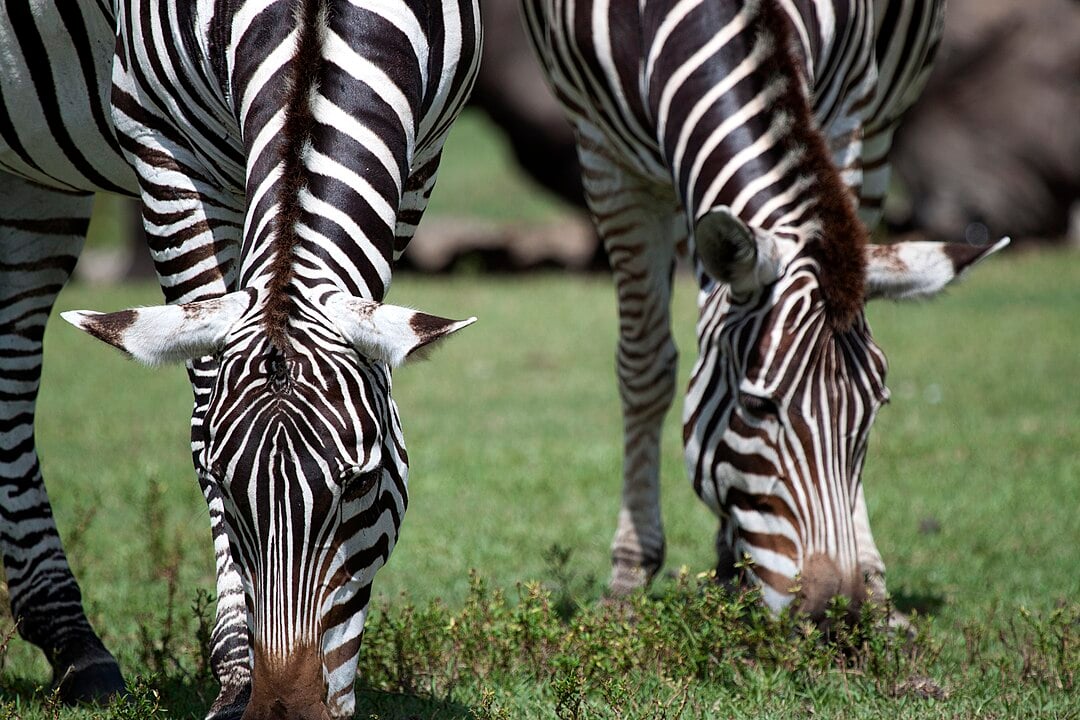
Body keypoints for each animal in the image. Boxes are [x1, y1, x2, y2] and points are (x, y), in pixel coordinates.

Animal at [1, 1, 479, 717]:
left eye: (362, 484)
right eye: (219, 482)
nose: (286, 712)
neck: (314, 24)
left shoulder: (423, 155)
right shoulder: (159, 138)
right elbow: (204, 391)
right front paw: (235, 676)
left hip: (33, 184)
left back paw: (73, 643)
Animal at [522, 0, 1007, 619]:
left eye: (875, 409)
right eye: (756, 405)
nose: (834, 615)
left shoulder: (844, 116)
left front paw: (866, 581)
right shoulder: (604, 156)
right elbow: (645, 367)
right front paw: (628, 579)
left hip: (882, 126)